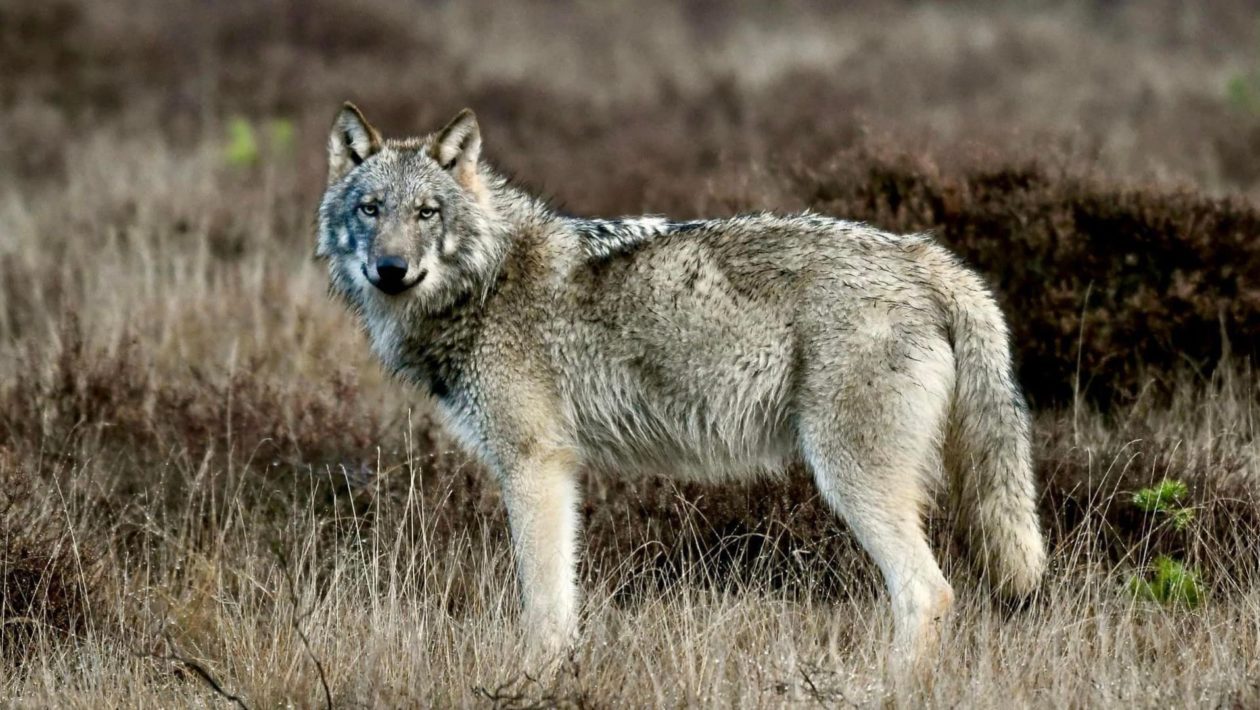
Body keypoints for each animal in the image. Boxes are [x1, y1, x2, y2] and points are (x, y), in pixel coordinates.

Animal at [320, 102, 1048, 670]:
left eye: (427, 212)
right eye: (371, 209)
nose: (391, 269)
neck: (487, 278)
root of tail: (928, 257)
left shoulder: (534, 466)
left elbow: (544, 607)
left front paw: (535, 679)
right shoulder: (559, 472)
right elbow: (563, 602)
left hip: (851, 480)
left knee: (928, 593)